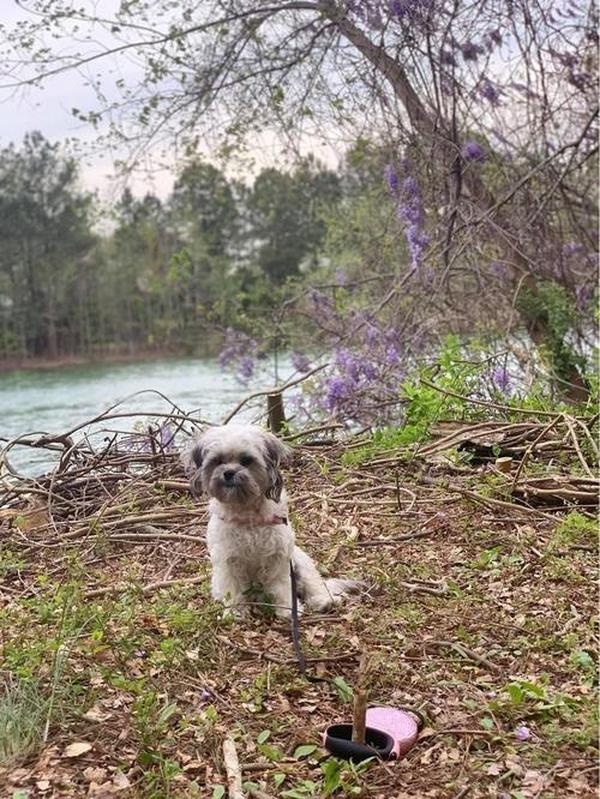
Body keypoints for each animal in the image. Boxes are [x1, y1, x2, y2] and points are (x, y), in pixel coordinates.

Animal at [185, 424, 358, 620]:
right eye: (218, 460)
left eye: (246, 460)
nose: (228, 473)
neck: (247, 513)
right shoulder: (228, 560)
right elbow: (233, 586)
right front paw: (235, 611)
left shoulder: (278, 557)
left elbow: (281, 585)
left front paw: (287, 609)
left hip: (301, 563)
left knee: (313, 584)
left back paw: (324, 601)